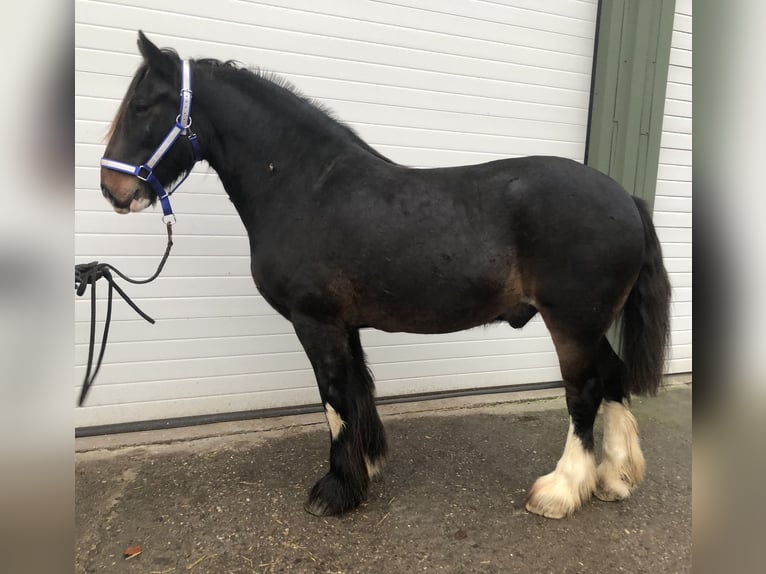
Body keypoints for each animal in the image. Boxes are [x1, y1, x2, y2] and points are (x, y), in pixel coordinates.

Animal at [99, 31, 671, 519]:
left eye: (143, 105)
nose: (112, 189)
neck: (305, 185)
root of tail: (626, 198)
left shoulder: (315, 322)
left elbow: (334, 398)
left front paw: (335, 491)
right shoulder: (344, 324)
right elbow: (358, 391)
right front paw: (367, 467)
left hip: (571, 324)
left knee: (584, 393)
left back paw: (560, 490)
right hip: (589, 325)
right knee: (613, 377)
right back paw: (614, 479)